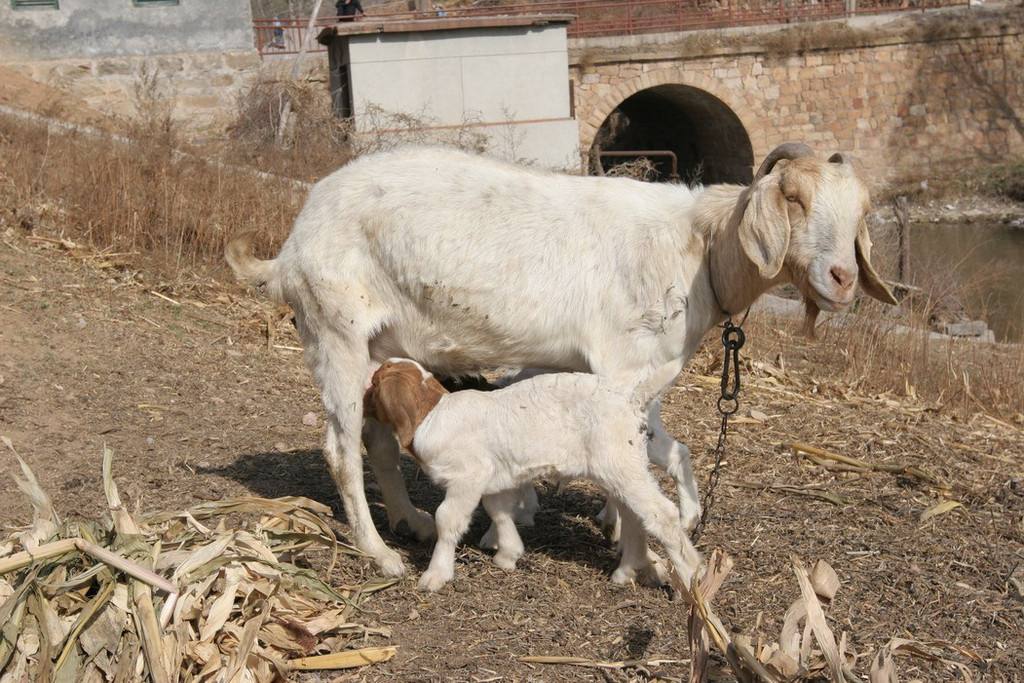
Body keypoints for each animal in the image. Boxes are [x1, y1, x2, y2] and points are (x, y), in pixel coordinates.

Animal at [226, 143, 897, 577]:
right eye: (794, 198)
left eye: (862, 212)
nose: (842, 280)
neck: (697, 250)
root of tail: (291, 246)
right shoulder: (622, 366)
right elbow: (637, 466)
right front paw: (634, 547)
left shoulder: (639, 382)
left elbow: (666, 449)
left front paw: (651, 520)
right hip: (334, 328)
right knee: (341, 450)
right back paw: (381, 554)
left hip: (379, 346)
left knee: (381, 441)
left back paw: (410, 521)